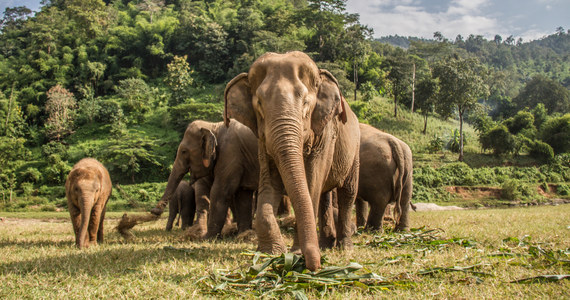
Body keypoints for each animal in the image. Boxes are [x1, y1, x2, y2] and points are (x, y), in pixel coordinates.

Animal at [224, 50, 358, 270]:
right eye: (259, 104)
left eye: (305, 103)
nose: (315, 266)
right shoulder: (263, 140)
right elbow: (270, 181)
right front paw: (270, 253)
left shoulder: (326, 134)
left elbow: (312, 181)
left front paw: (295, 253)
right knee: (324, 195)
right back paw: (325, 245)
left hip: (354, 150)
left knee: (347, 192)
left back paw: (344, 248)